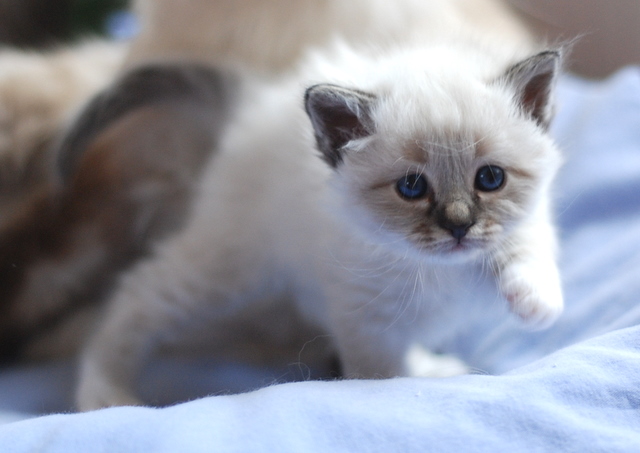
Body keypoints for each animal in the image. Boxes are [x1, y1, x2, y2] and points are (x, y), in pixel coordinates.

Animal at [76, 33, 564, 408]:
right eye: (411, 187)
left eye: (490, 178)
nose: (459, 226)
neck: (436, 271)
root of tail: (255, 101)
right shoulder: (367, 319)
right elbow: (384, 377)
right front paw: (403, 389)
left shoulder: (521, 224)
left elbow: (527, 240)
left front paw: (536, 303)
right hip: (228, 264)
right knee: (135, 294)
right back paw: (103, 395)